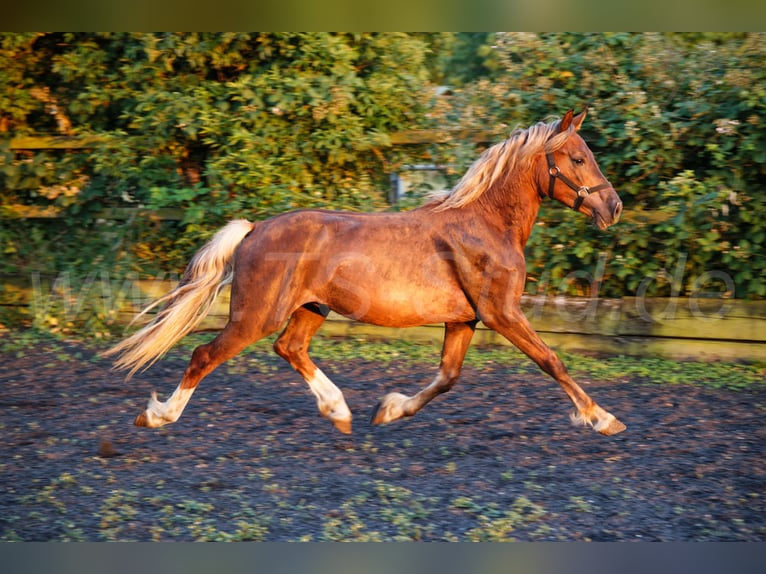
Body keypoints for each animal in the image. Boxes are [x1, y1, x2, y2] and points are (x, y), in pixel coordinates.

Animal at [103, 108, 627, 436]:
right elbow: (552, 360)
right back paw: (157, 417)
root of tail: (255, 229)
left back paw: (340, 411)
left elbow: (447, 377)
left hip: (310, 309)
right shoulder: (501, 313)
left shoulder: (464, 319)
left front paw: (388, 410)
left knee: (289, 349)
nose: (614, 207)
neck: (485, 224)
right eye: (577, 158)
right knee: (204, 354)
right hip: (254, 316)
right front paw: (602, 418)